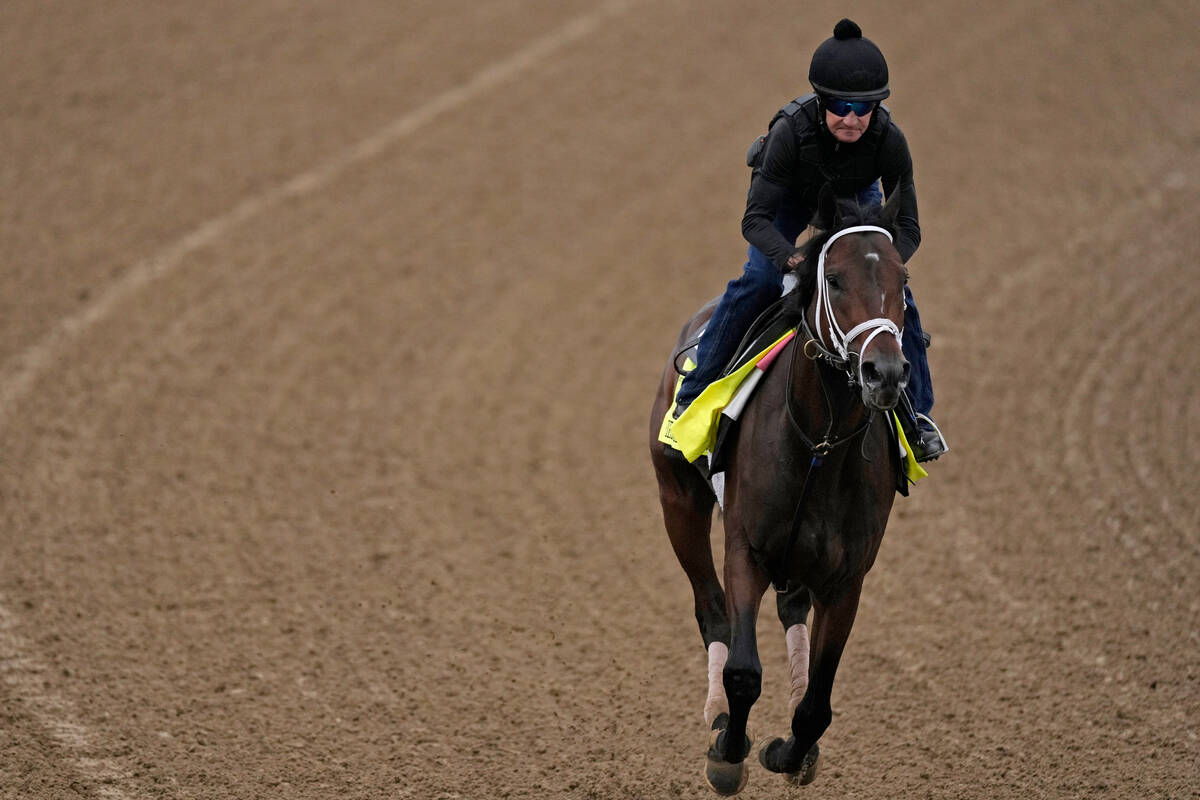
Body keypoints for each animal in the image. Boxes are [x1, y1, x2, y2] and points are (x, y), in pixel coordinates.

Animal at [648, 189, 907, 796]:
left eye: (903, 279)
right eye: (833, 279)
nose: (883, 372)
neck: (819, 443)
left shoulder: (846, 577)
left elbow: (817, 705)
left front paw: (791, 752)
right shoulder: (747, 549)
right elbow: (744, 672)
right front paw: (727, 752)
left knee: (792, 609)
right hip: (679, 501)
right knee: (710, 609)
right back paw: (718, 715)